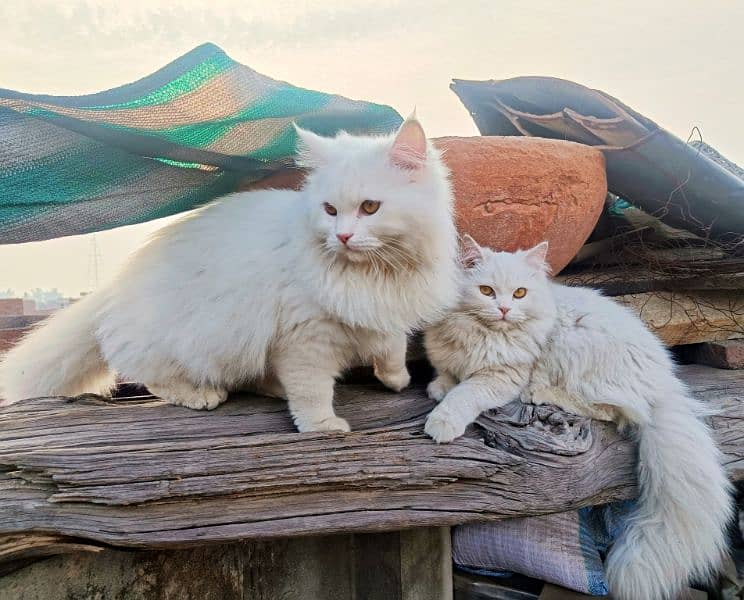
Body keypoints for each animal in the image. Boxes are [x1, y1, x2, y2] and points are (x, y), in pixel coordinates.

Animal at [0, 117, 460, 434]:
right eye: (330, 210)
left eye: (369, 208)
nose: (342, 236)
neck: (372, 274)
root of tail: (116, 285)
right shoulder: (305, 337)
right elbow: (313, 389)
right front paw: (321, 427)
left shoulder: (383, 308)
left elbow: (391, 345)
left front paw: (396, 380)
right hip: (189, 342)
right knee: (153, 378)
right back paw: (202, 396)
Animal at [424, 237, 732, 600]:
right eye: (486, 291)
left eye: (519, 293)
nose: (504, 310)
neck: (481, 334)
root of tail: (664, 386)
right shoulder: (448, 354)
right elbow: (447, 375)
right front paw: (439, 387)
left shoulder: (502, 377)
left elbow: (465, 393)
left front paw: (442, 421)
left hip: (576, 347)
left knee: (606, 409)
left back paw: (541, 394)